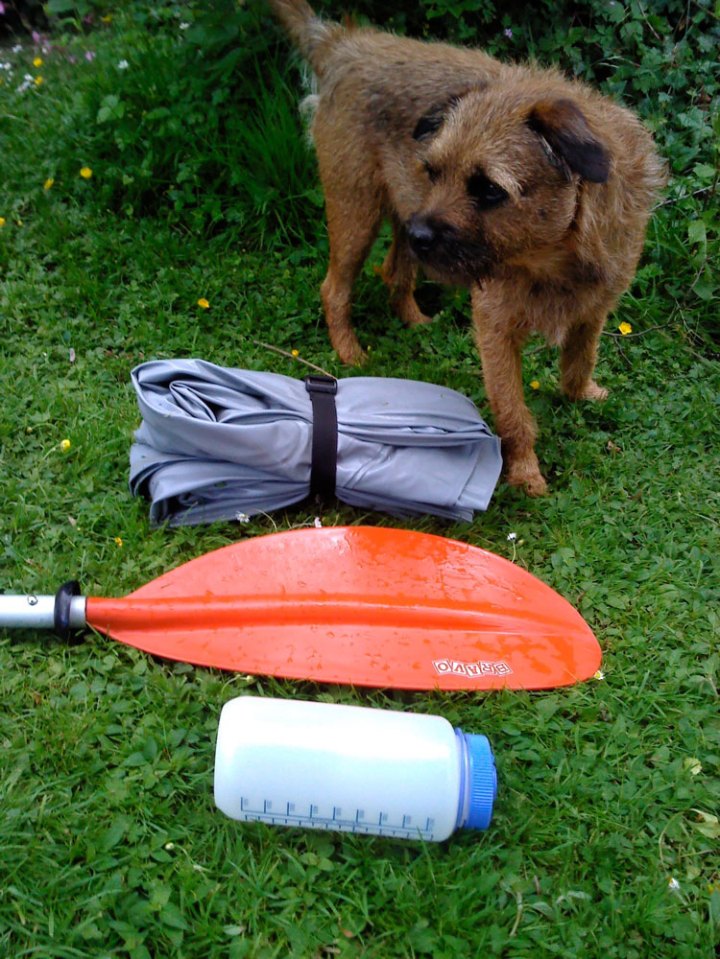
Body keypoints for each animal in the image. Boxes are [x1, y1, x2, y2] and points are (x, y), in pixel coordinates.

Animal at [267, 0, 665, 494]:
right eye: (434, 171)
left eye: (489, 189)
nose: (422, 235)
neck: (557, 256)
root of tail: (346, 45)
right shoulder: (496, 329)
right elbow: (514, 412)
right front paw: (527, 474)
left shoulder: (594, 308)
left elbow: (580, 358)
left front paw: (583, 395)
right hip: (358, 211)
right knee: (335, 288)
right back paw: (350, 352)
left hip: (399, 211)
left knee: (394, 271)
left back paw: (414, 319)